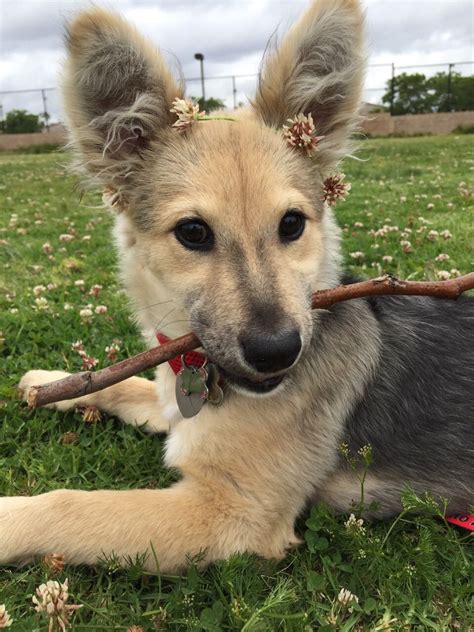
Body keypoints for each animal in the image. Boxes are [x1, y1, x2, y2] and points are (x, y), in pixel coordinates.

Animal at [1, 0, 472, 572]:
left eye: (291, 224)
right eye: (193, 232)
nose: (277, 352)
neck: (203, 373)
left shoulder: (231, 512)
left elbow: (65, 506)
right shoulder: (175, 410)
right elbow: (126, 384)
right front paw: (51, 381)